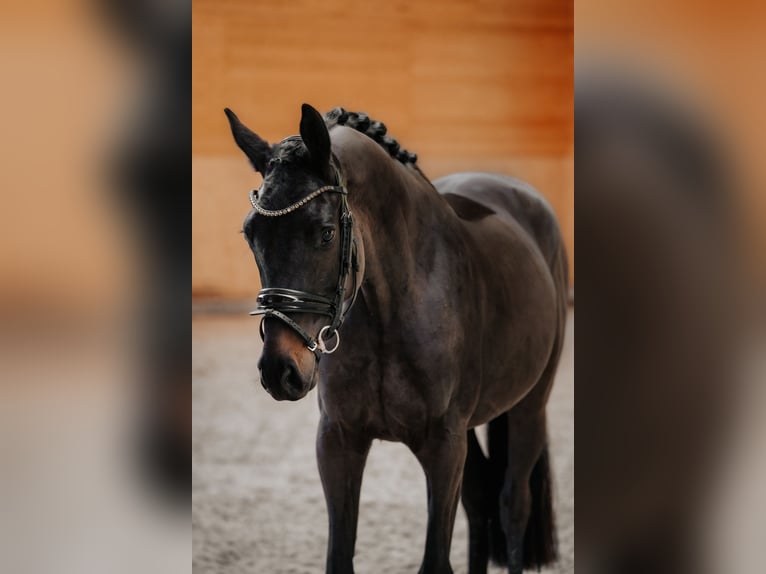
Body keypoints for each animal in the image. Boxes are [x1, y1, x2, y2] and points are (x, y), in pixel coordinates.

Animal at [224, 103, 568, 574]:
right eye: (250, 233)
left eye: (325, 232)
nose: (280, 370)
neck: (392, 309)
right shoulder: (338, 441)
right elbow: (340, 557)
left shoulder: (444, 446)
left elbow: (436, 559)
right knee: (481, 502)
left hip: (529, 406)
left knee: (513, 505)